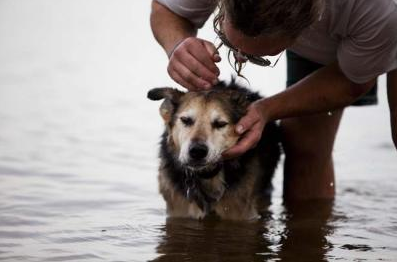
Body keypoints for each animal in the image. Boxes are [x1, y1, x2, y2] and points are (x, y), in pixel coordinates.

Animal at [147, 81, 280, 220]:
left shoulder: (241, 212)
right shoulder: (178, 211)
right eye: (185, 120)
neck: (207, 176)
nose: (197, 151)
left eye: (220, 124)